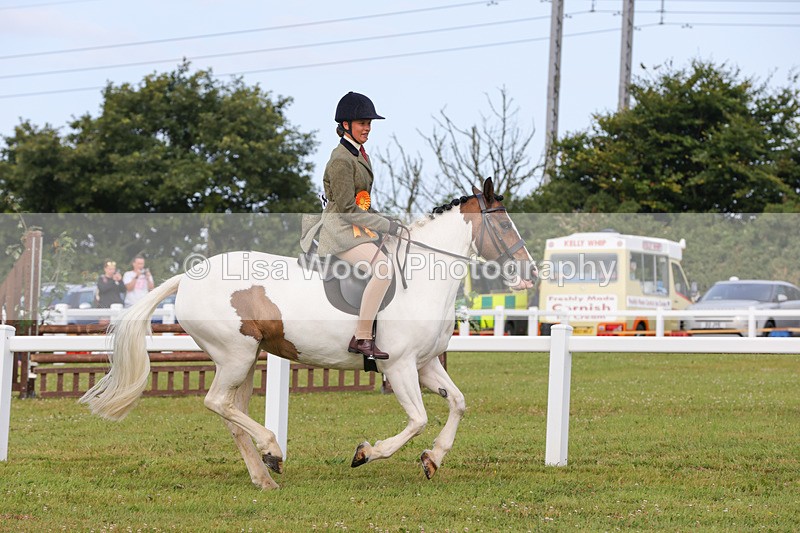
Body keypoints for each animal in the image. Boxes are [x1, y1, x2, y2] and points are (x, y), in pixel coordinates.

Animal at [80, 178, 537, 490]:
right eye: (505, 226)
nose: (530, 273)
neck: (422, 281)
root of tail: (188, 277)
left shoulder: (424, 366)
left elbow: (458, 403)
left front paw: (433, 459)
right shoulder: (401, 367)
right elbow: (418, 419)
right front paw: (367, 453)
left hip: (244, 360)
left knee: (230, 414)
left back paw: (265, 474)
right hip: (236, 355)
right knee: (217, 403)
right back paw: (273, 449)